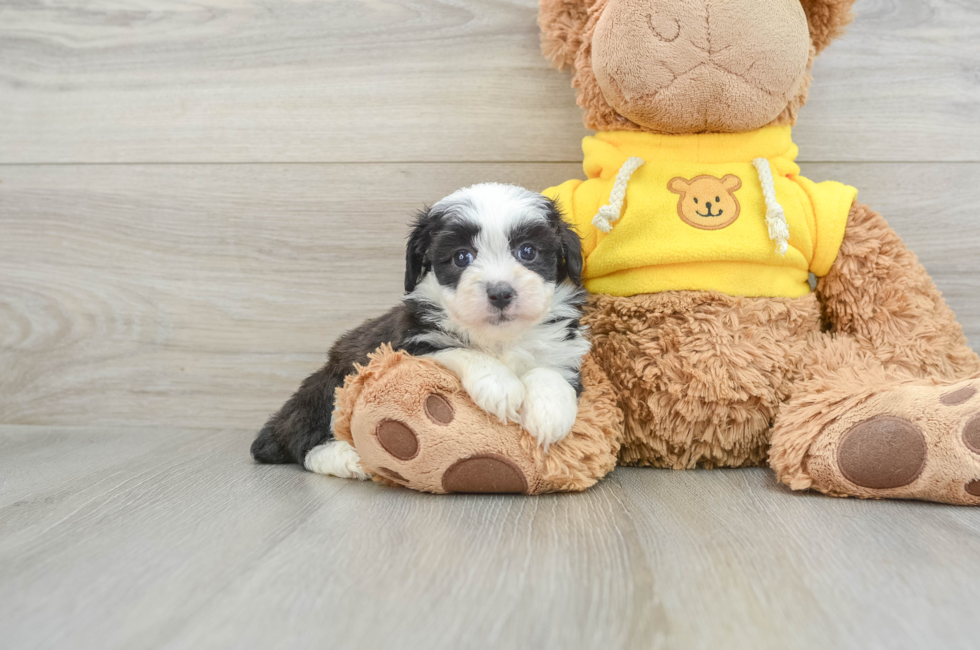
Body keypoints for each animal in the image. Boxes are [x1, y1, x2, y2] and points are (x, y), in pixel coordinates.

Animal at [253, 181, 588, 476]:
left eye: (528, 252)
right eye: (462, 257)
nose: (501, 293)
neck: (499, 339)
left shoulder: (564, 346)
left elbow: (550, 370)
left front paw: (549, 412)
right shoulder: (412, 344)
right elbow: (462, 351)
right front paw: (501, 386)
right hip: (331, 383)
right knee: (303, 439)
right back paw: (346, 457)